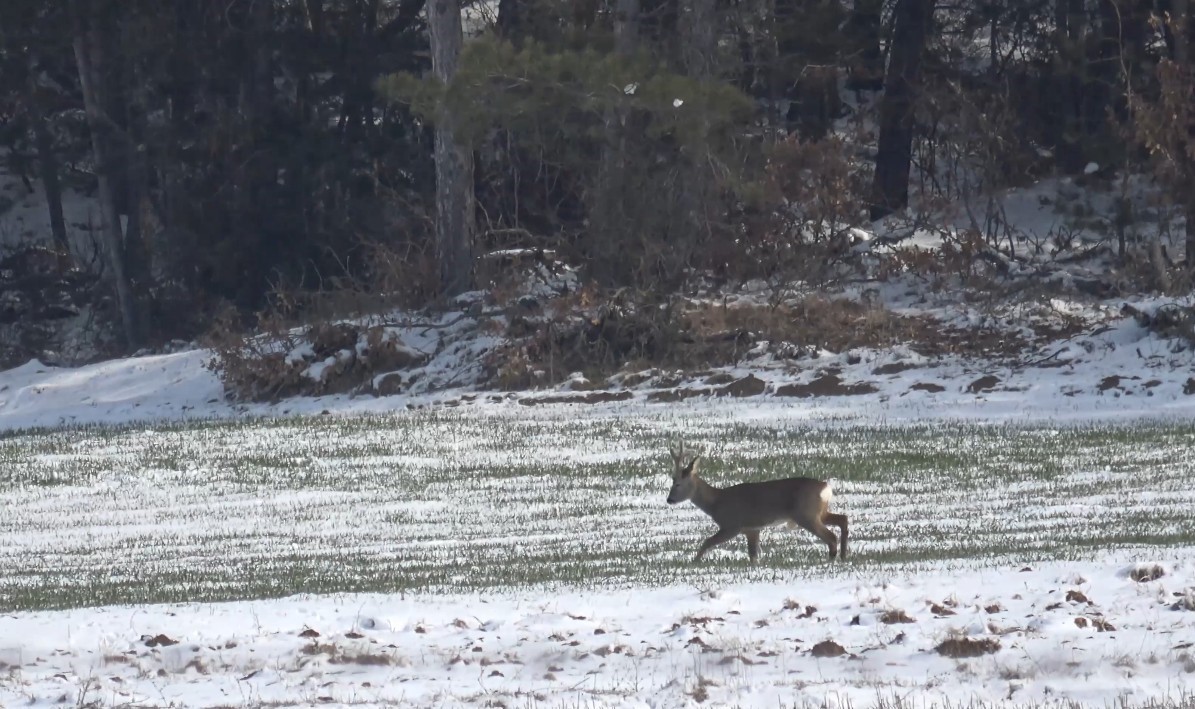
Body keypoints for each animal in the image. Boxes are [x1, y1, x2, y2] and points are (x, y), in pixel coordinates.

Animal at [664, 439, 850, 561]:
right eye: (672, 480)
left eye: (678, 483)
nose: (669, 499)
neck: (716, 502)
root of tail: (826, 487)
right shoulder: (752, 529)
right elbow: (753, 556)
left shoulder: (732, 525)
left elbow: (707, 542)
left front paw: (694, 562)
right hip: (819, 512)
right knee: (843, 519)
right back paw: (843, 556)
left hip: (806, 514)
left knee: (831, 537)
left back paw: (832, 560)